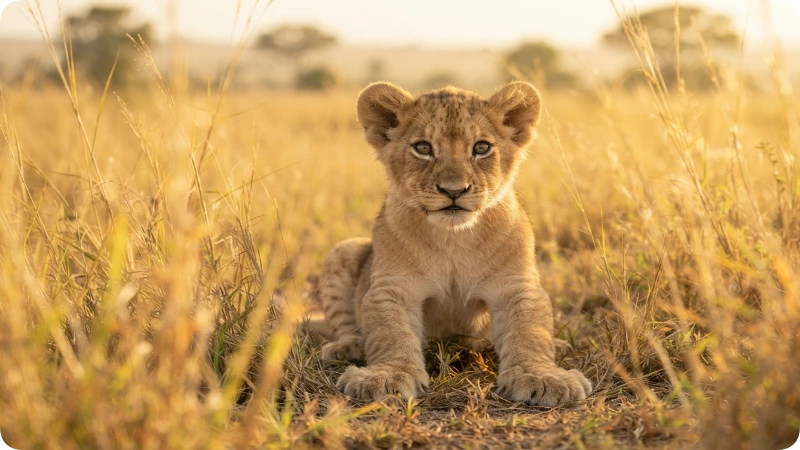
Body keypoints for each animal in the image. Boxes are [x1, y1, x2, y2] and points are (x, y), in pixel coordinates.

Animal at [316, 81, 592, 406]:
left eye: (481, 148)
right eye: (423, 148)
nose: (454, 190)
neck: (454, 239)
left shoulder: (515, 286)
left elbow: (530, 332)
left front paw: (542, 377)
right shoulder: (392, 287)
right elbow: (390, 332)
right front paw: (387, 376)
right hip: (342, 250)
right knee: (345, 324)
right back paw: (347, 346)